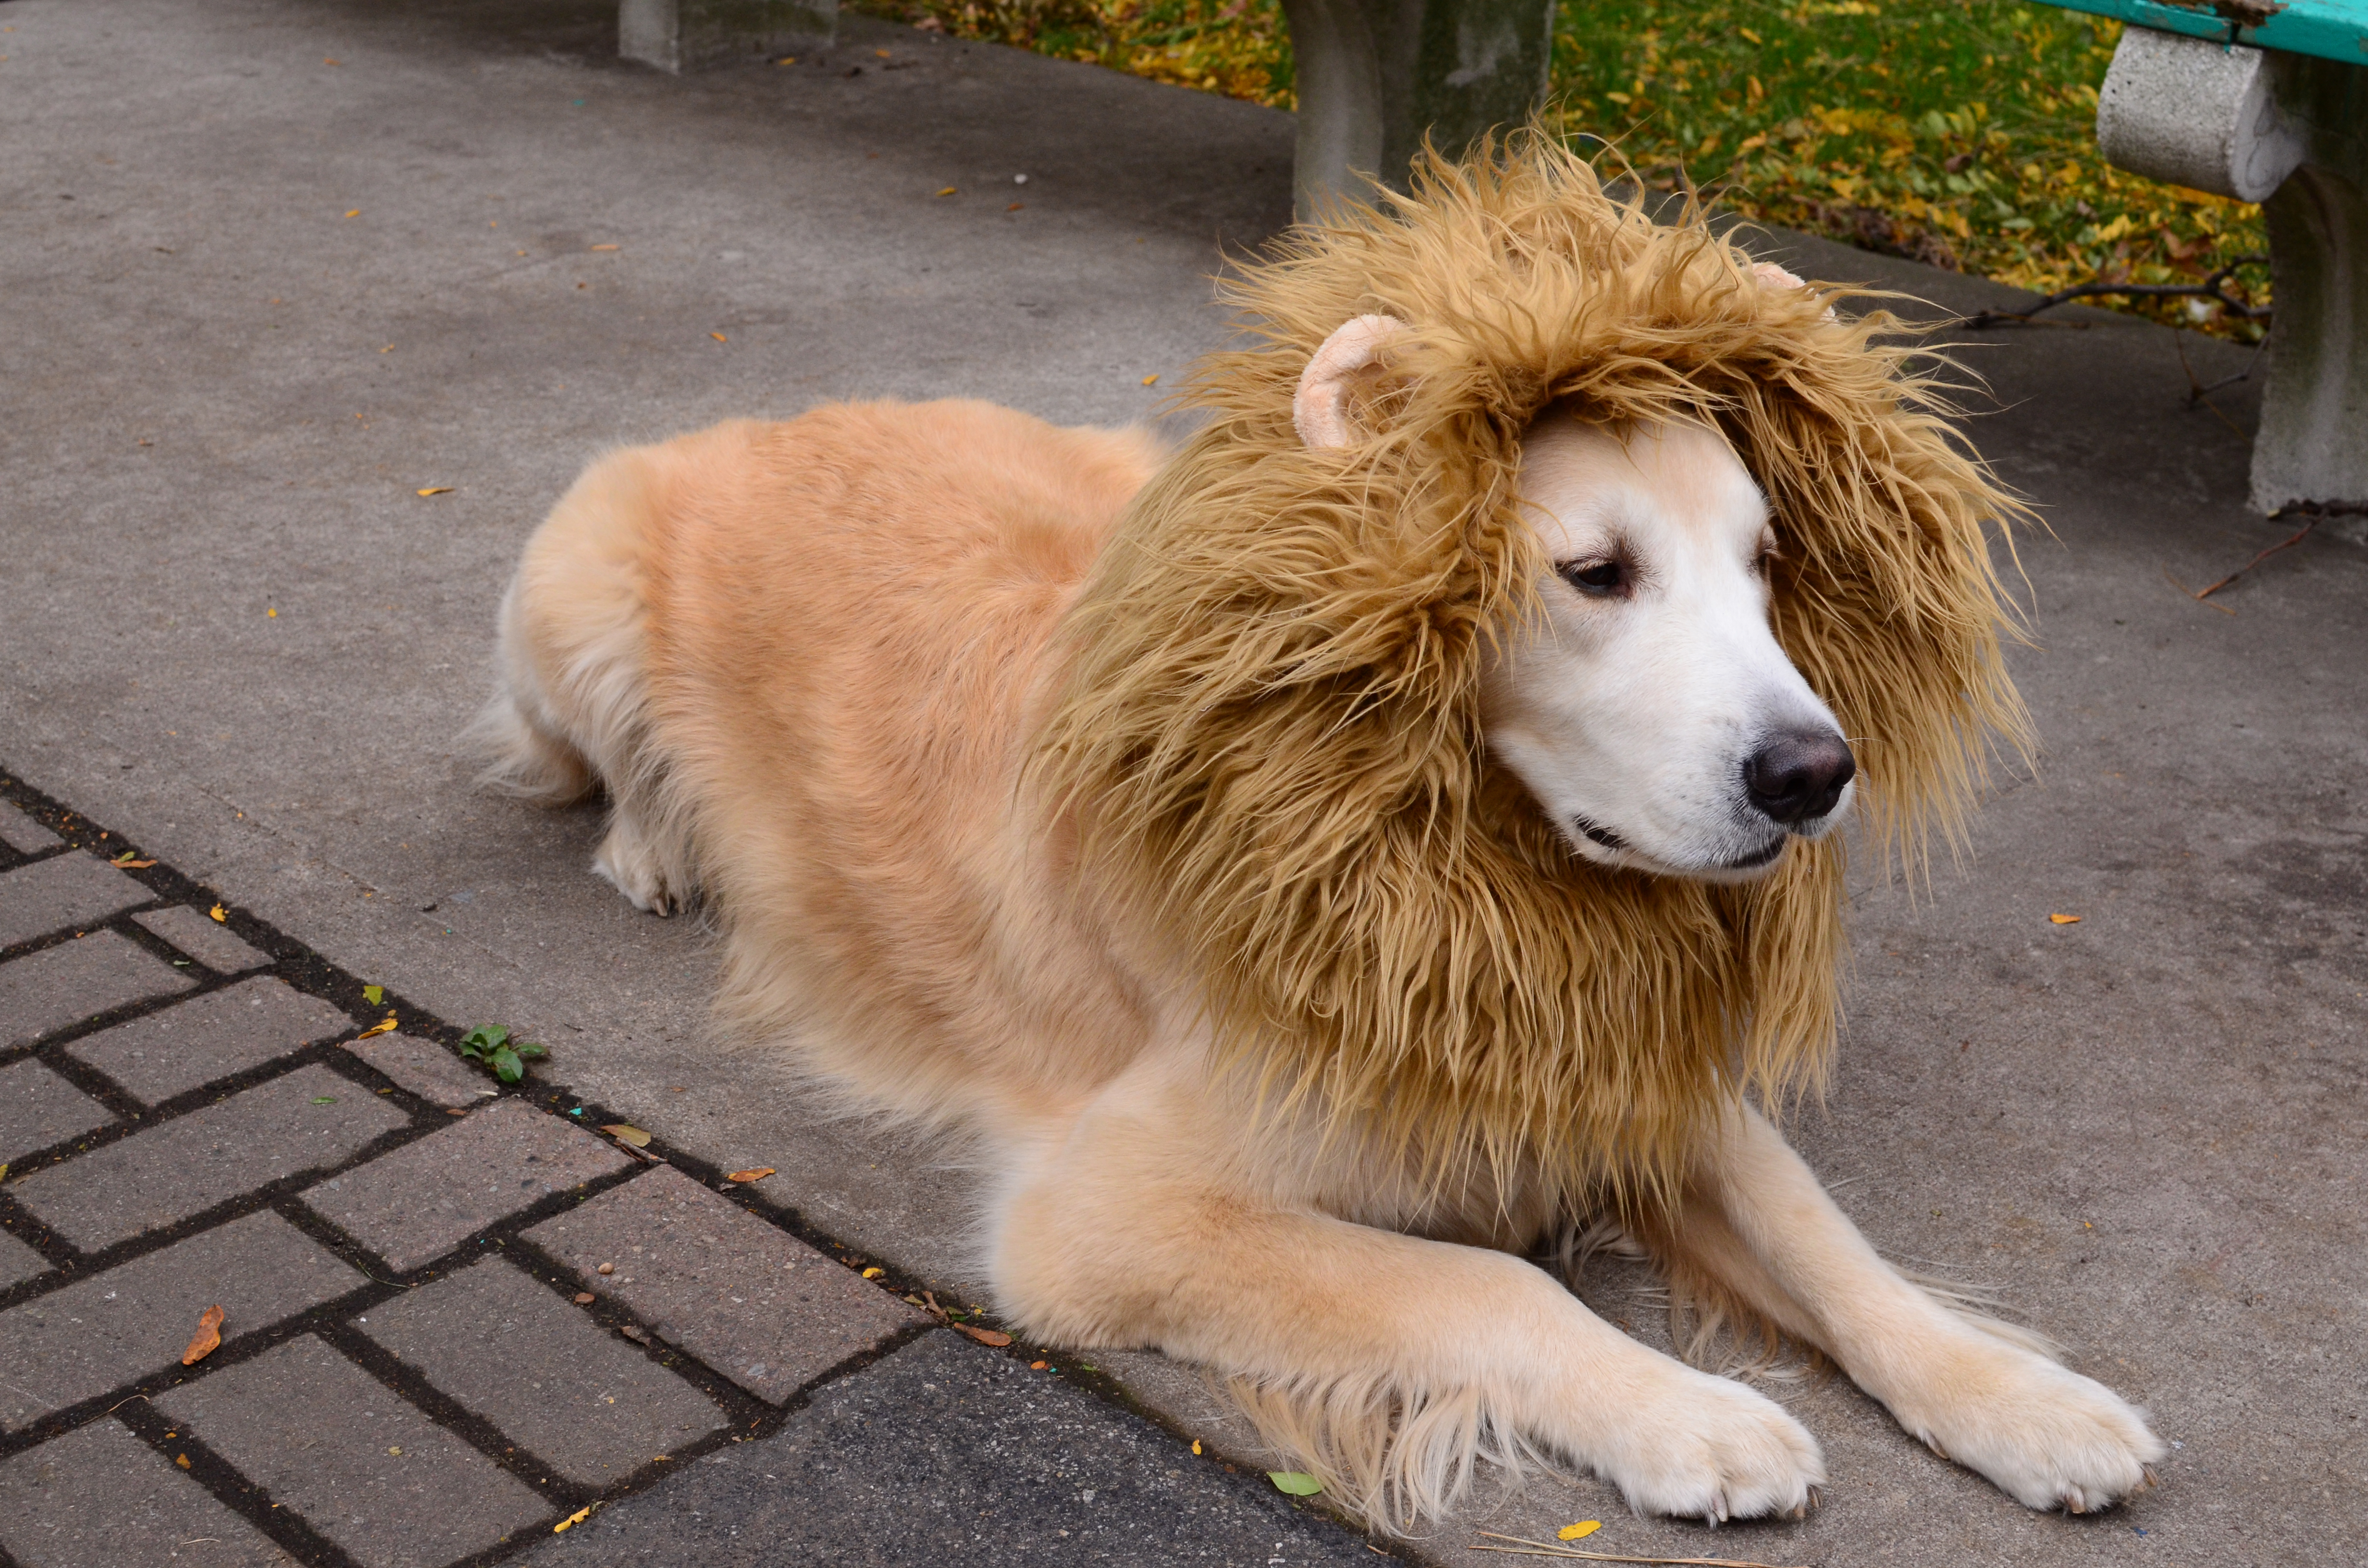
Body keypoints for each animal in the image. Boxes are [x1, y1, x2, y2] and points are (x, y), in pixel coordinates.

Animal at [476, 141, 2169, 1525]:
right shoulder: (1109, 1211)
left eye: (1767, 563)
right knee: (597, 773)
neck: (1448, 875)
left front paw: (2020, 1398)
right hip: (568, 580)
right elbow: (1490, 1284)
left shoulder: (1619, 1063)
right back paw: (659, 848)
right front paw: (1693, 1417)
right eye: (1595, 573)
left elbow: (1831, 1246)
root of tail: (793, 411)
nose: (1816, 773)